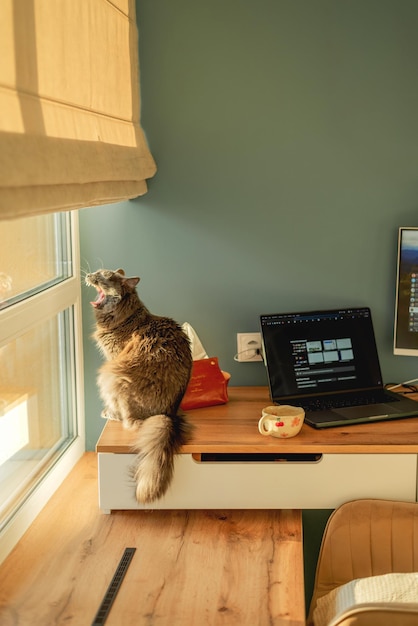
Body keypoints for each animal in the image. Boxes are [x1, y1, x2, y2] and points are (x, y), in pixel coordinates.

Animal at [86, 266, 194, 502]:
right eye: (96, 272)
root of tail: (167, 414)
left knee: (126, 420)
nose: (89, 275)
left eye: (103, 275)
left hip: (111, 375)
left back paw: (110, 413)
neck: (126, 316)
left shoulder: (113, 356)